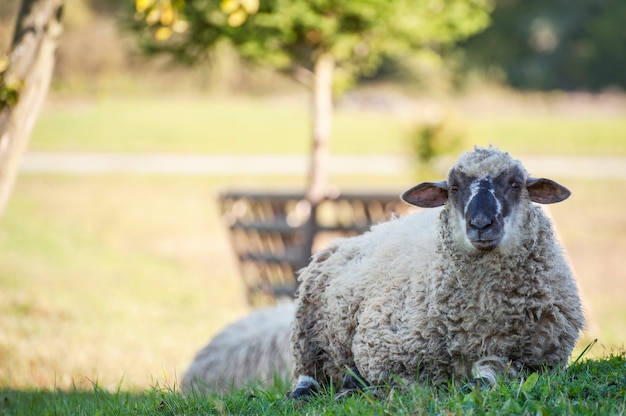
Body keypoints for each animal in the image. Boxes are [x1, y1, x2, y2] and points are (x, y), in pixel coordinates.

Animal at [288, 145, 584, 396]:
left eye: (515, 184)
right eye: (453, 187)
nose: (480, 224)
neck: (483, 314)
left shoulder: (538, 361)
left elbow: (493, 373)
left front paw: (476, 382)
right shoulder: (382, 350)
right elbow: (409, 384)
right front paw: (359, 386)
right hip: (306, 333)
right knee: (307, 373)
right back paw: (308, 391)